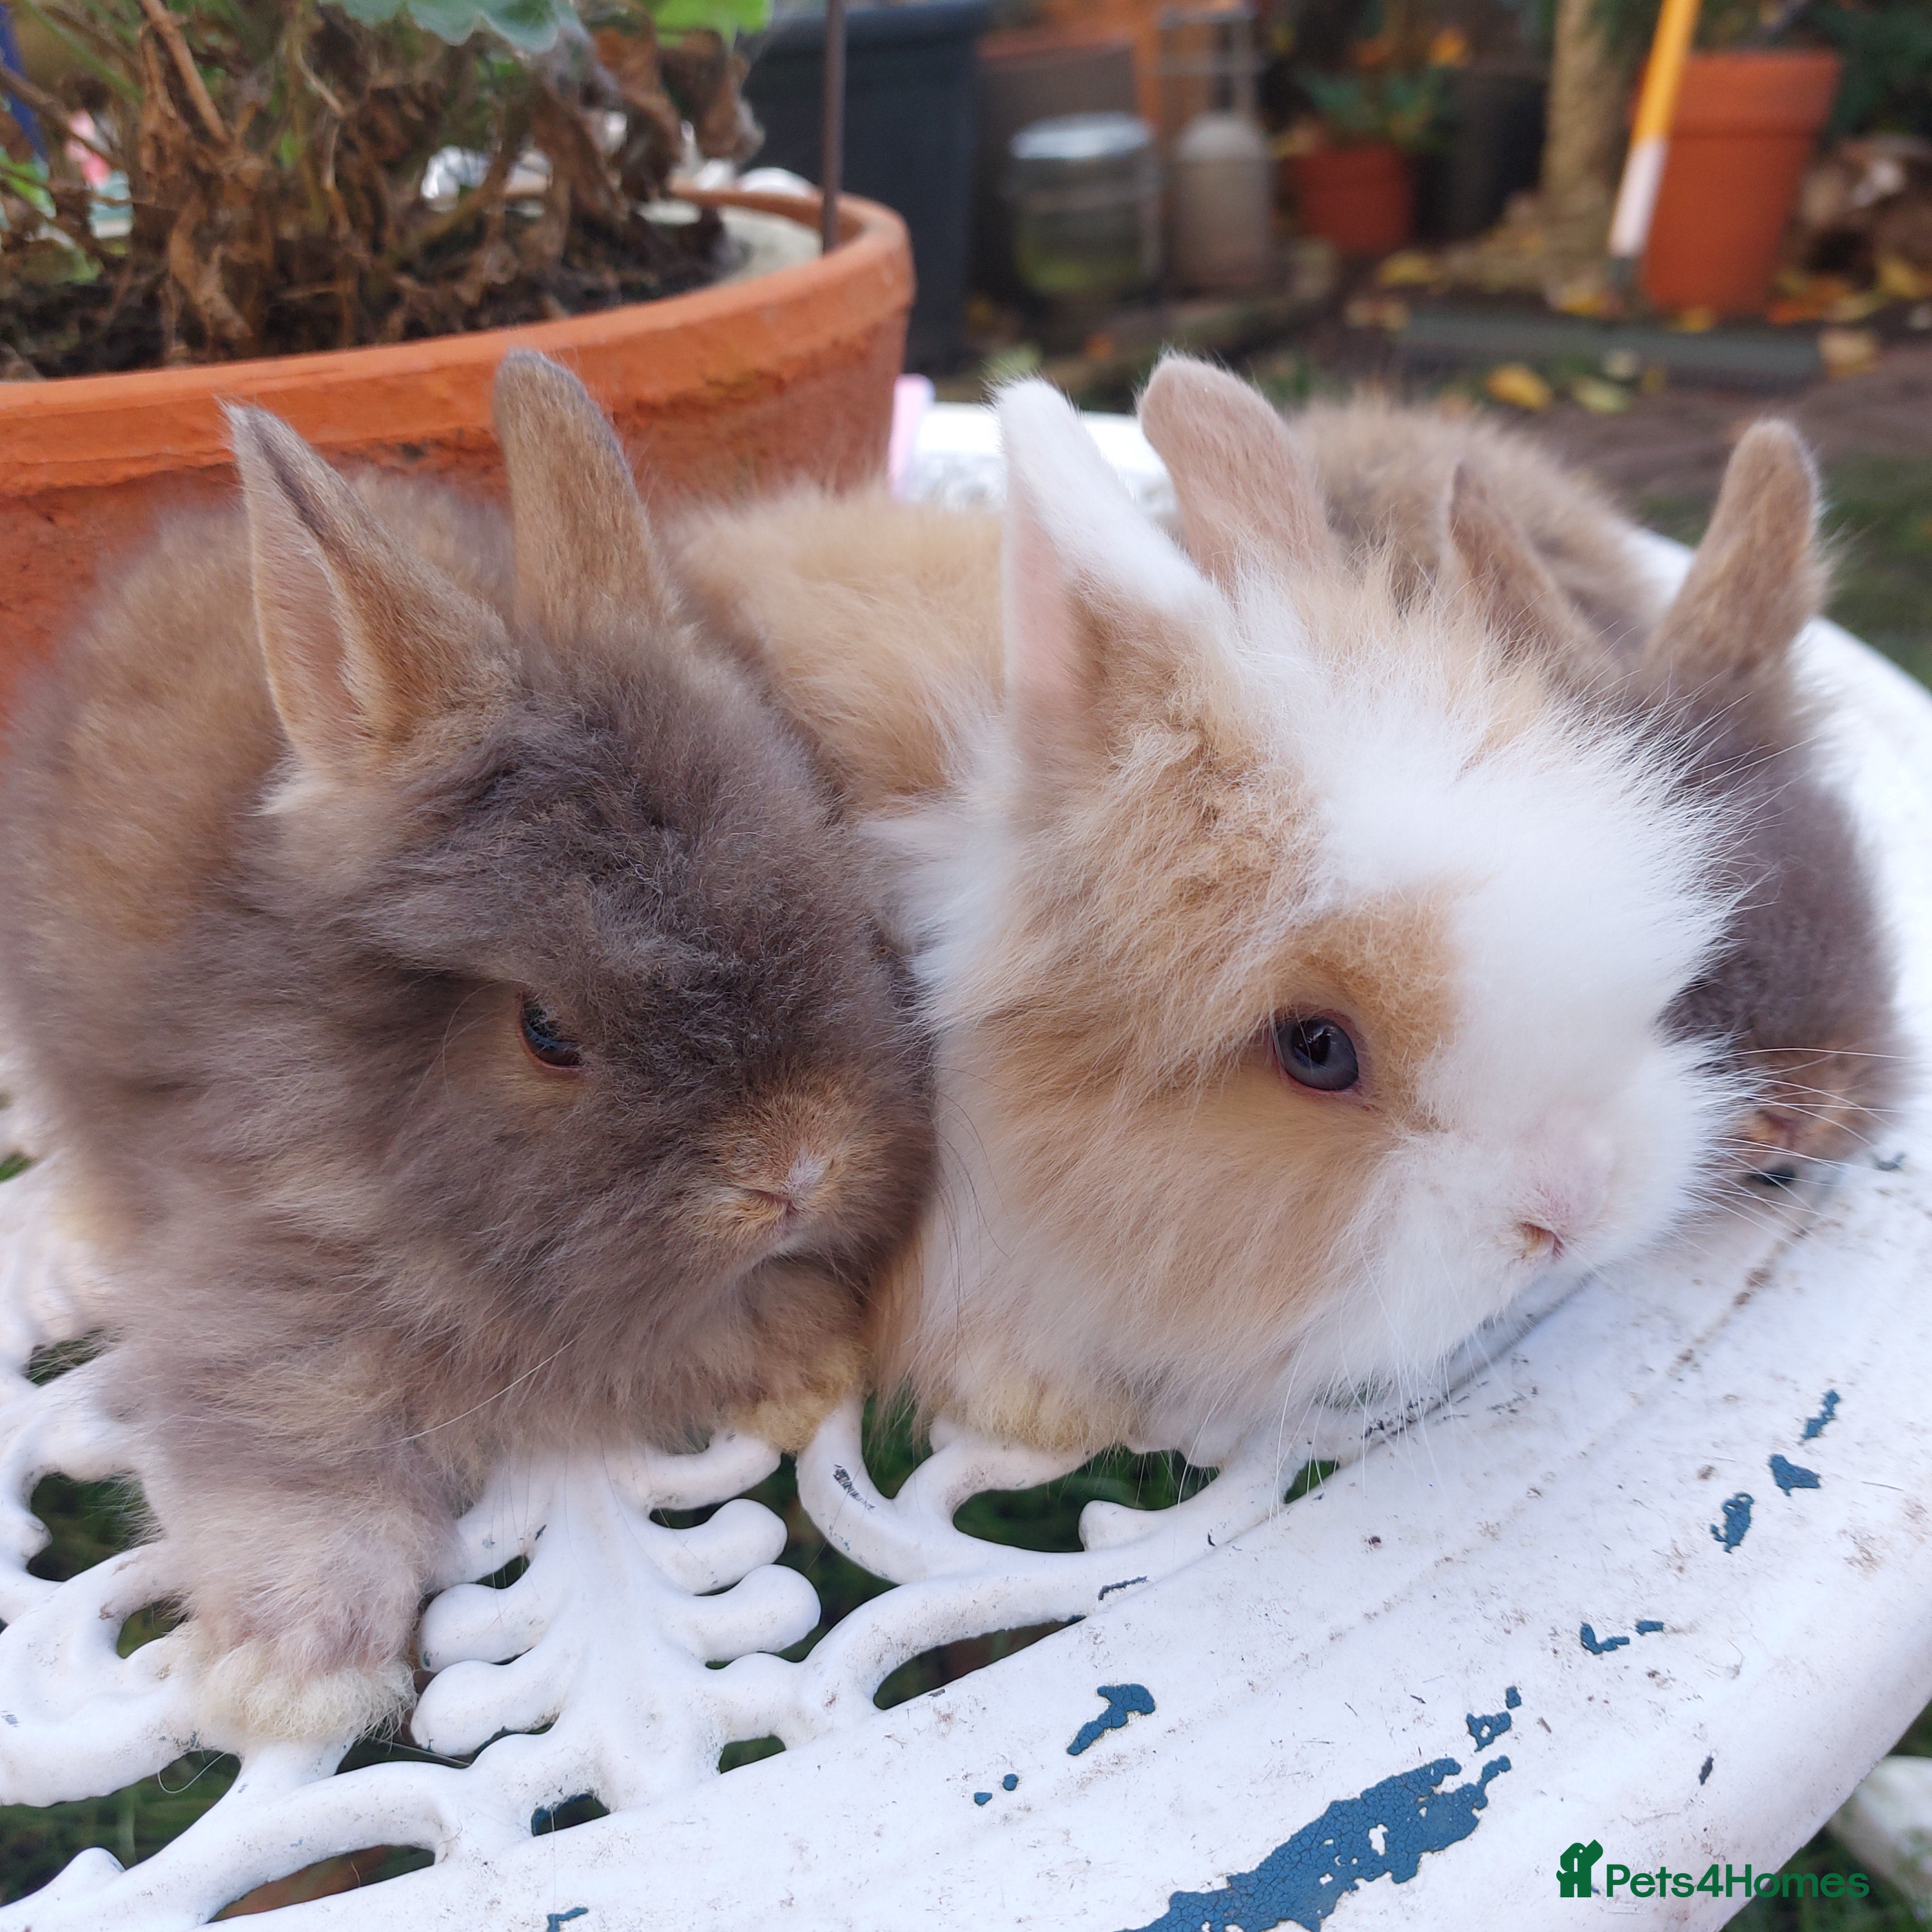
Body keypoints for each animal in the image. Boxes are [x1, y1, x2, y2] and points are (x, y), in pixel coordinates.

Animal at [0, 351, 932, 1742]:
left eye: (837, 894)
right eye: (546, 1031)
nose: (797, 1172)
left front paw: (790, 1371)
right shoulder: (261, 1274)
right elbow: (289, 1455)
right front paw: (288, 1678)